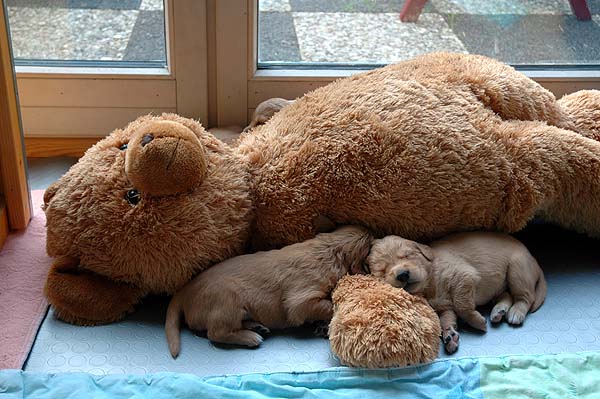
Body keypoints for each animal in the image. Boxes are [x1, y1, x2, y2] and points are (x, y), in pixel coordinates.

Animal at [164, 225, 370, 360]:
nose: (370, 231)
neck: (329, 249)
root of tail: (183, 292)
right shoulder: (301, 300)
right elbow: (327, 305)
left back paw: (256, 327)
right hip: (228, 300)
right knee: (215, 332)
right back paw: (251, 337)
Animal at [368, 233, 548, 354]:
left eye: (408, 254)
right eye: (382, 270)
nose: (402, 275)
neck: (430, 282)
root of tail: (533, 260)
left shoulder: (464, 276)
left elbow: (462, 306)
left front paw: (477, 322)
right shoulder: (443, 307)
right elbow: (446, 319)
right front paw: (450, 336)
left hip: (517, 270)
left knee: (526, 297)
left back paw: (516, 313)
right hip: (501, 284)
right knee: (506, 295)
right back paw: (498, 311)